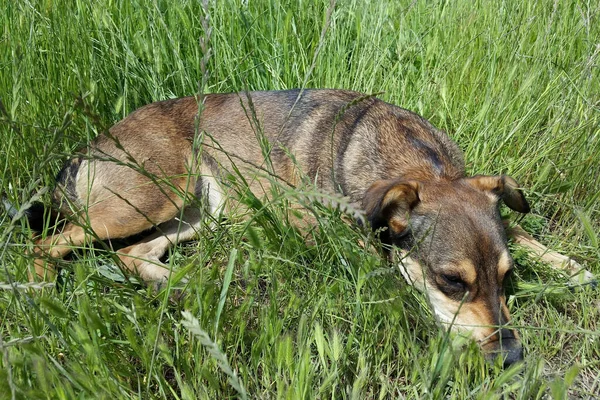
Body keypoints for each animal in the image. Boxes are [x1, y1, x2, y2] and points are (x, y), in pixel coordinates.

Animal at [23, 89, 592, 368]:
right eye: (452, 282)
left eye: (507, 277)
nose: (512, 358)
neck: (418, 166)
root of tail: (90, 146)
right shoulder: (337, 232)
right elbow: (385, 272)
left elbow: (521, 232)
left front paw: (571, 267)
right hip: (148, 197)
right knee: (46, 243)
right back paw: (37, 289)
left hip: (196, 211)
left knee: (133, 256)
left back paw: (188, 284)